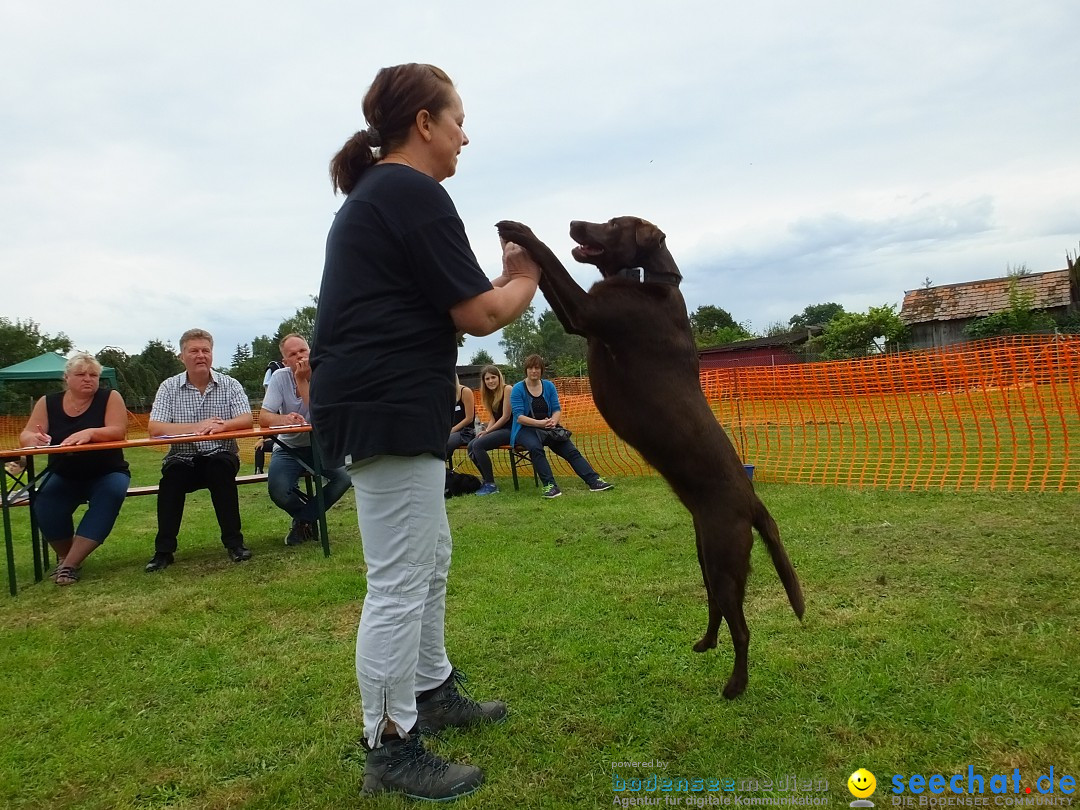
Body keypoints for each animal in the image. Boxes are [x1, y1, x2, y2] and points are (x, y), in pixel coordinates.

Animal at [496, 219, 803, 699]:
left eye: (612, 224)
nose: (574, 223)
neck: (650, 281)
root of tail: (754, 501)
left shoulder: (587, 312)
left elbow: (550, 259)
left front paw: (518, 230)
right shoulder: (580, 316)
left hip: (723, 557)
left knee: (742, 627)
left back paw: (735, 685)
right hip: (706, 554)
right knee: (716, 606)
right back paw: (705, 643)